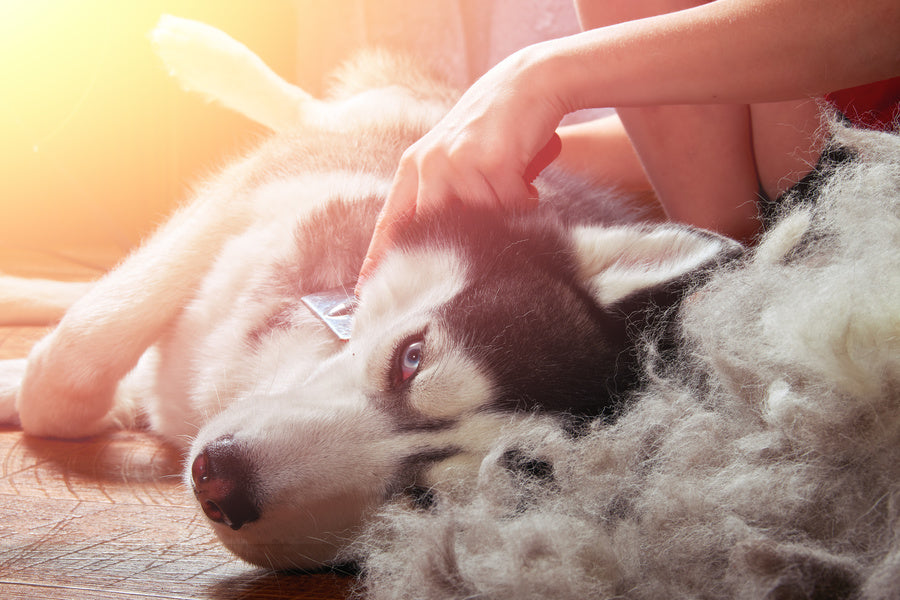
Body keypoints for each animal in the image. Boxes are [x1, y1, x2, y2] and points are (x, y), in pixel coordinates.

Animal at [0, 16, 740, 568]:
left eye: (425, 499)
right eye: (411, 358)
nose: (220, 480)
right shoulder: (254, 204)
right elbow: (72, 365)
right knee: (316, 108)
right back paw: (201, 51)